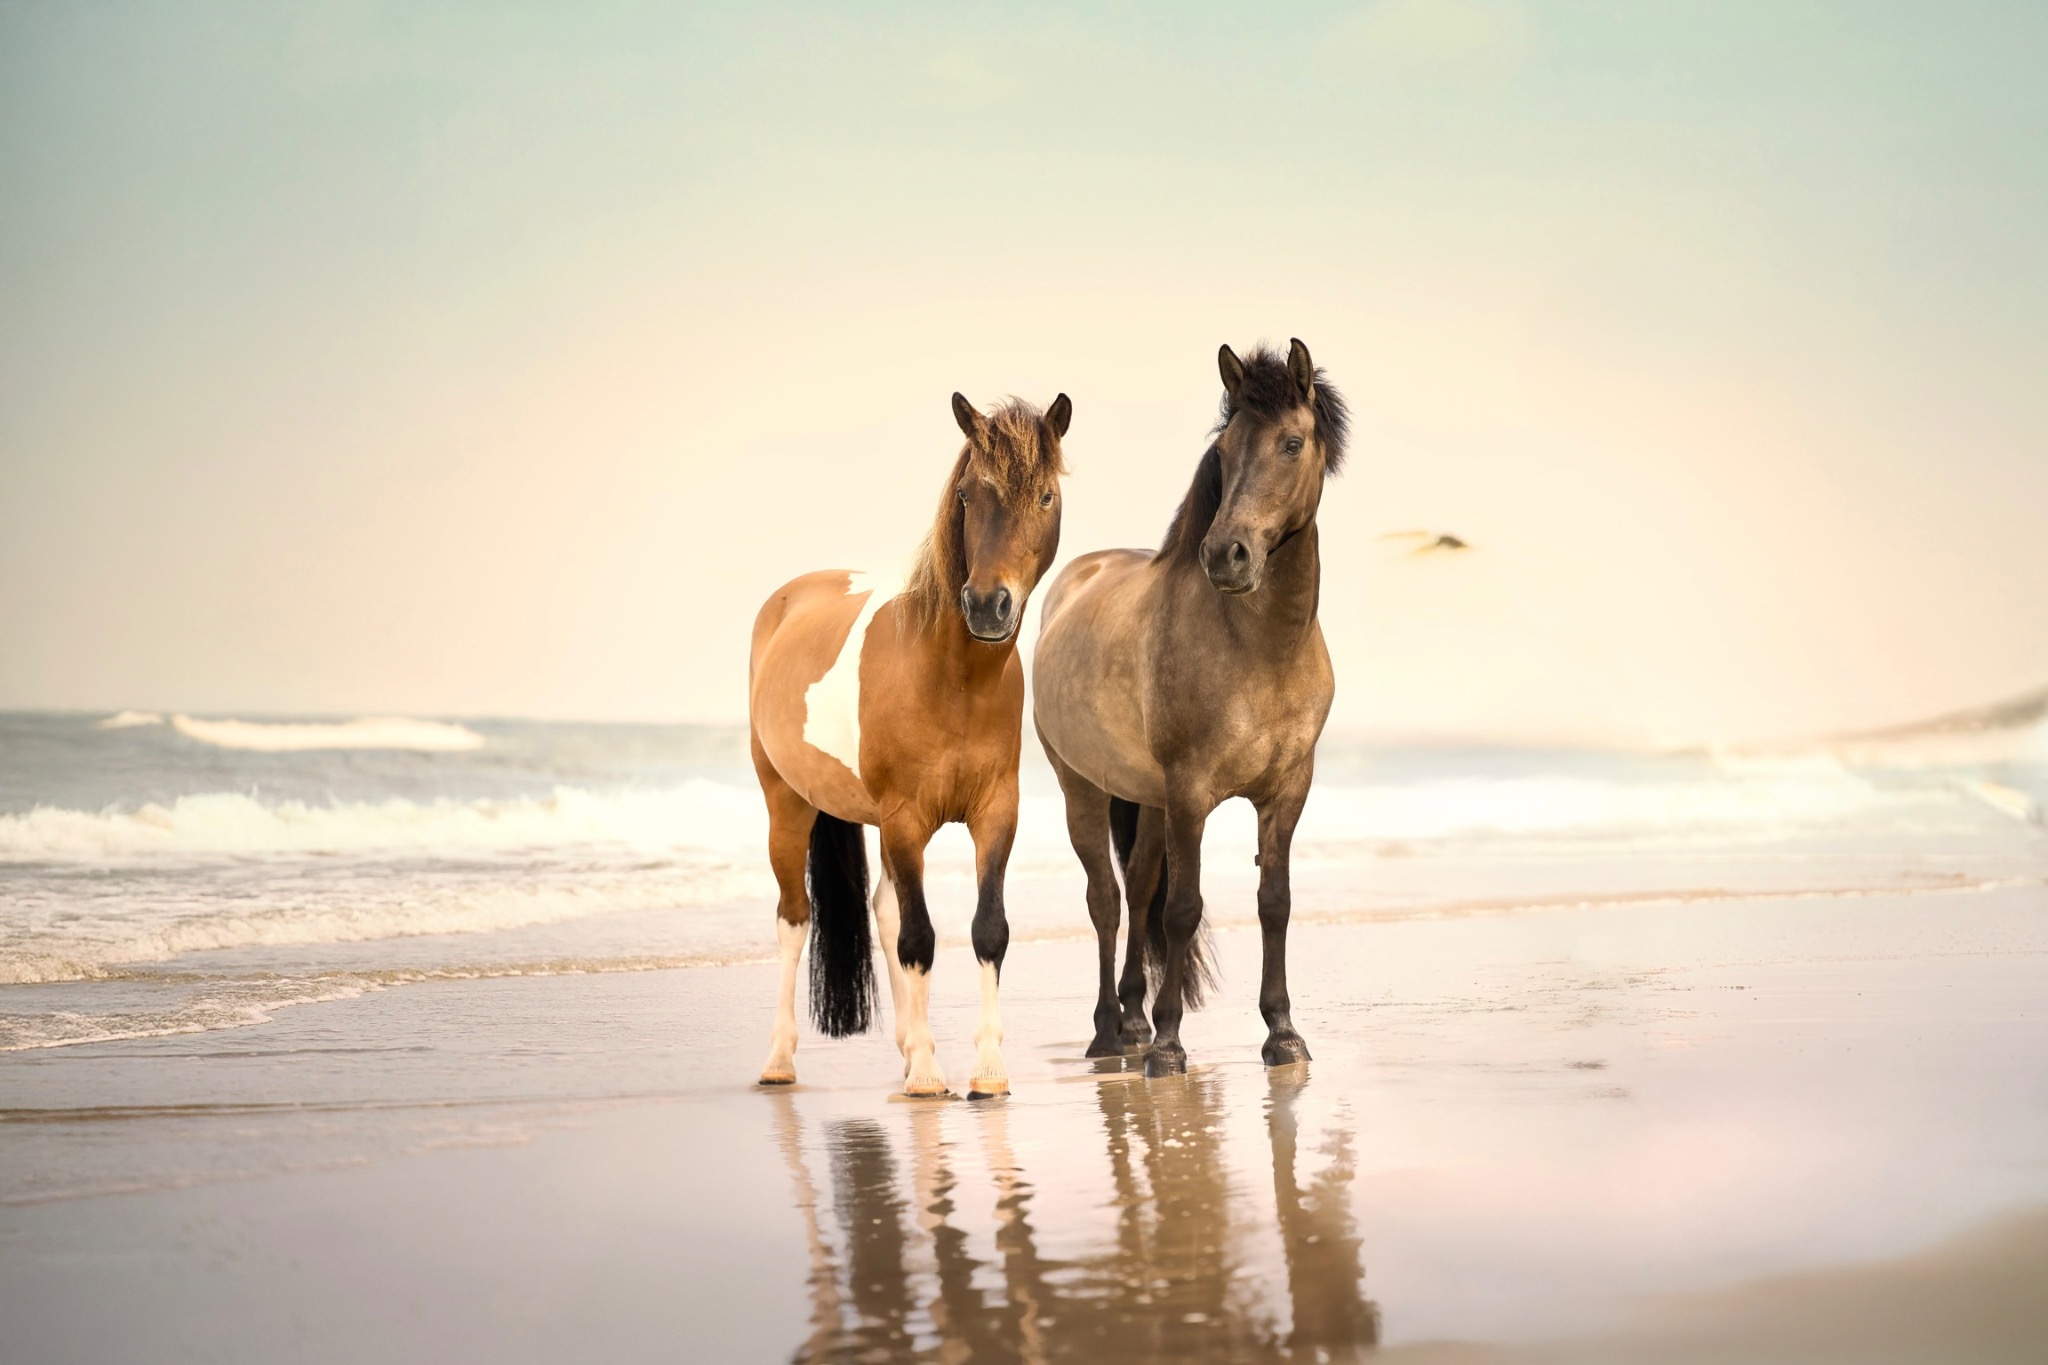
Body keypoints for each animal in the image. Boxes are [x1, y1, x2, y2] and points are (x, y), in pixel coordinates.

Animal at [749, 391, 1071, 1096]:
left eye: (1045, 496)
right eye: (969, 494)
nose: (987, 605)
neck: (951, 676)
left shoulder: (995, 814)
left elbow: (987, 929)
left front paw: (986, 1070)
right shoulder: (904, 817)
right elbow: (920, 938)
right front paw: (927, 1072)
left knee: (884, 909)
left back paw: (903, 1045)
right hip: (789, 804)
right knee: (794, 918)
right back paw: (781, 1059)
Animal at [1032, 340, 1348, 1078]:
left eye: (1292, 442)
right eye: (1225, 452)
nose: (1226, 554)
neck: (1260, 649)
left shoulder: (1287, 790)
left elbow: (1273, 902)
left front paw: (1283, 1033)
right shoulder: (1191, 790)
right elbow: (1182, 908)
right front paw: (1170, 1044)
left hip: (1146, 801)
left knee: (1138, 884)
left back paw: (1132, 1017)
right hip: (1083, 788)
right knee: (1107, 900)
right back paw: (1109, 1032)